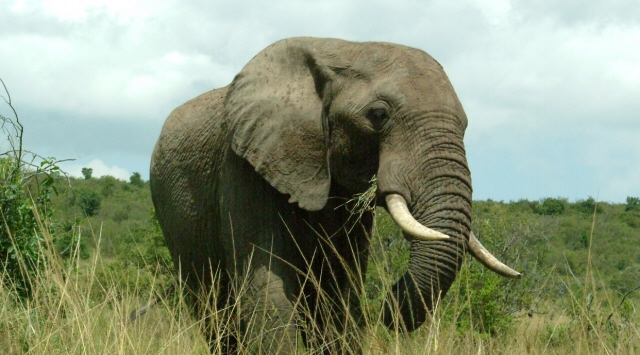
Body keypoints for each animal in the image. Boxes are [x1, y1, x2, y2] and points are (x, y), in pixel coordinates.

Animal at [150, 37, 520, 354]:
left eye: (466, 125)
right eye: (378, 115)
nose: (389, 302)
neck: (342, 49)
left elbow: (340, 292)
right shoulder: (242, 166)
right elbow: (266, 287)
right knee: (214, 314)